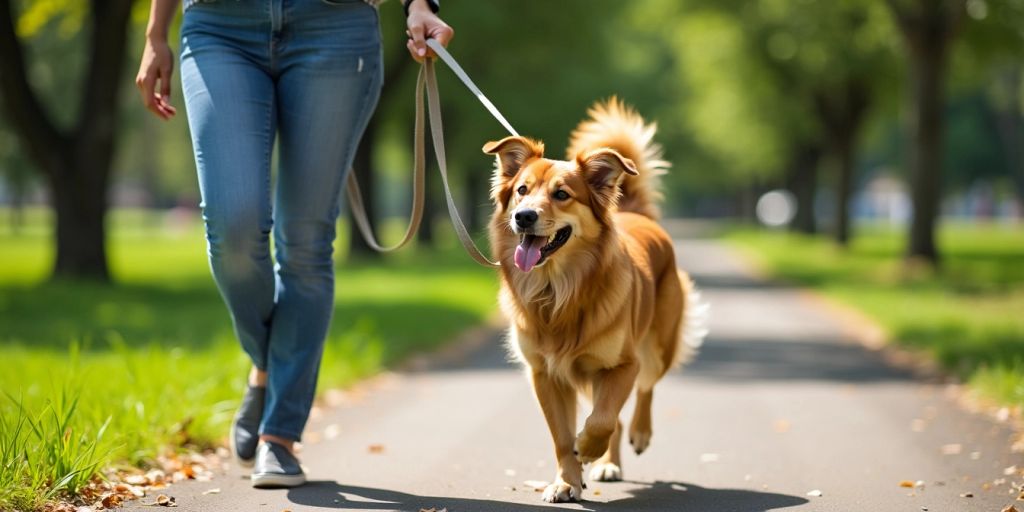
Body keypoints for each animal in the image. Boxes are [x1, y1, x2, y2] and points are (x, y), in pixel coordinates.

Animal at [483, 97, 708, 501]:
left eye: (562, 194)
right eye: (522, 190)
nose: (524, 216)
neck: (558, 291)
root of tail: (634, 212)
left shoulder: (622, 365)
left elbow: (602, 420)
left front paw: (587, 448)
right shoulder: (546, 374)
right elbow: (562, 436)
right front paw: (566, 481)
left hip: (656, 349)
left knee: (644, 391)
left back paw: (635, 436)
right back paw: (606, 463)